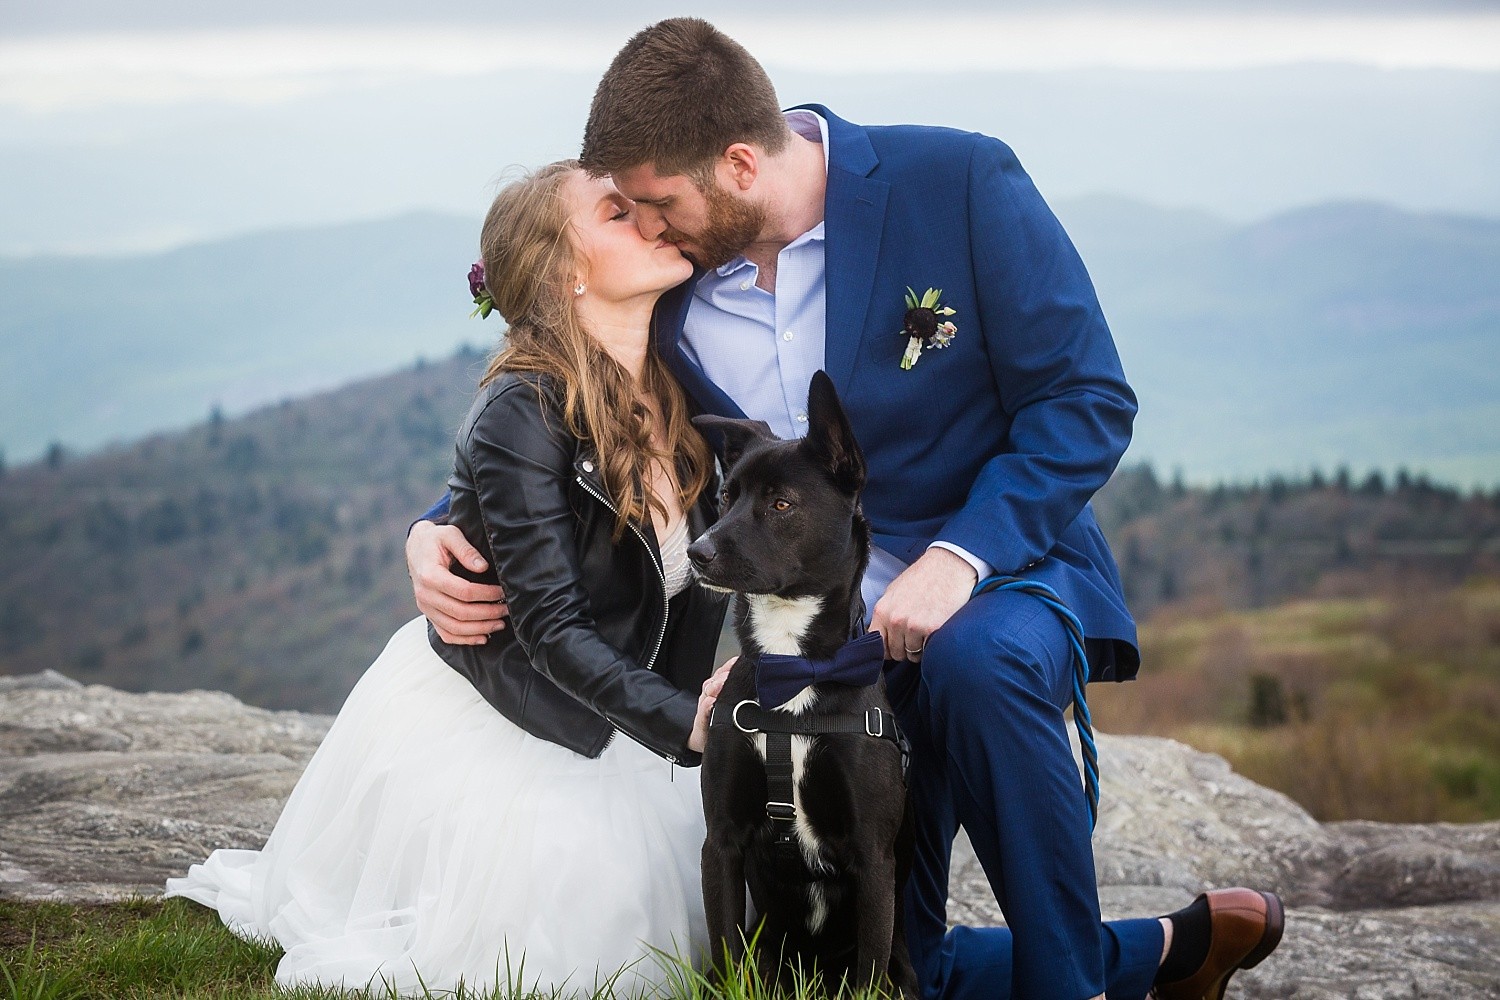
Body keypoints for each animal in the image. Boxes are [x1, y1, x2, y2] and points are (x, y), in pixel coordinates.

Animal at [687, 371, 912, 995]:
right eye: (725, 498)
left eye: (781, 503)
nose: (696, 552)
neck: (795, 669)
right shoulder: (721, 841)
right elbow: (728, 956)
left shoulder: (873, 857)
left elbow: (867, 975)